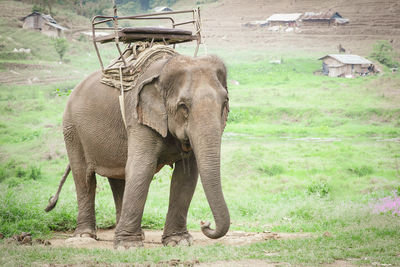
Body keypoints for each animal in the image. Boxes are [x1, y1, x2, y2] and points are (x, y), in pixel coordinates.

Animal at [45, 53, 230, 250]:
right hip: (72, 130)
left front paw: (178, 241)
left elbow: (187, 175)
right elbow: (142, 167)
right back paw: (84, 236)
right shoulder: (138, 118)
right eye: (183, 106)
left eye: (224, 103)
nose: (205, 223)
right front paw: (128, 246)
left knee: (118, 177)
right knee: (84, 178)